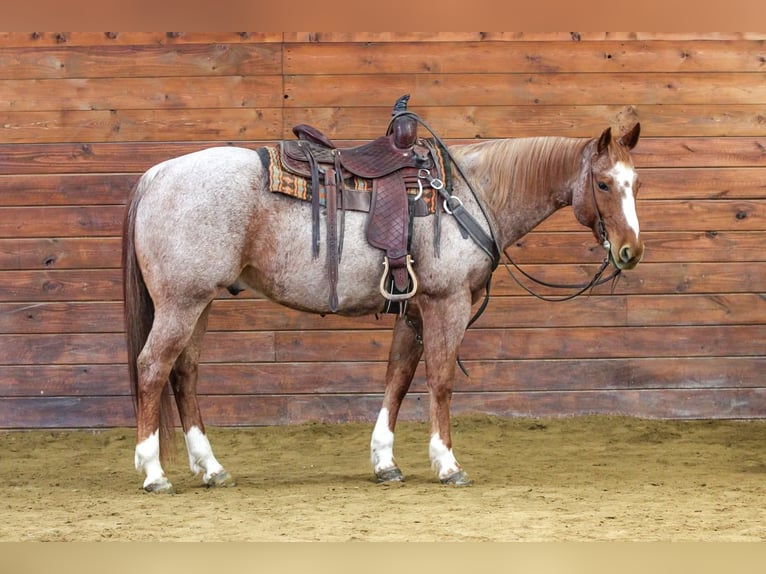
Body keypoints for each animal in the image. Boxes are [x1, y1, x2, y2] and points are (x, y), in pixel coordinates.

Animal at [123, 120, 643, 493]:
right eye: (602, 183)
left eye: (634, 182)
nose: (630, 252)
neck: (467, 194)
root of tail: (157, 175)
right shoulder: (446, 303)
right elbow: (441, 380)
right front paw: (447, 463)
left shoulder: (412, 310)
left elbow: (398, 377)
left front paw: (385, 461)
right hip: (182, 303)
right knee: (152, 368)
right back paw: (154, 471)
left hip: (201, 303)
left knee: (184, 374)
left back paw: (211, 468)